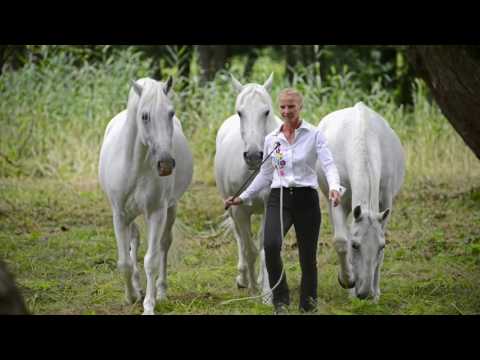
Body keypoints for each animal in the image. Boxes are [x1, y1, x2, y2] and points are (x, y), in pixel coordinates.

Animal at [97, 76, 193, 316]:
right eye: (144, 116)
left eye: (171, 113)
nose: (165, 164)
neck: (136, 165)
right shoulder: (120, 215)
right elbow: (124, 261)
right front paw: (131, 295)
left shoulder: (157, 212)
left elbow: (151, 260)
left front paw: (149, 305)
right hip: (131, 216)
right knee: (134, 242)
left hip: (171, 208)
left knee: (164, 245)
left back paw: (161, 291)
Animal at [214, 71, 282, 296]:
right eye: (240, 112)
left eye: (266, 111)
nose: (253, 155)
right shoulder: (239, 211)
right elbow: (248, 248)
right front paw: (252, 287)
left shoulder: (270, 208)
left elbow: (263, 245)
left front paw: (265, 287)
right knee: (240, 240)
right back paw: (243, 277)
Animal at [316, 102, 404, 300]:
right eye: (355, 246)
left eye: (381, 246)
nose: (365, 293)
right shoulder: (338, 200)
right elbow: (341, 241)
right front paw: (348, 281)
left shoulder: (386, 202)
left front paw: (376, 293)